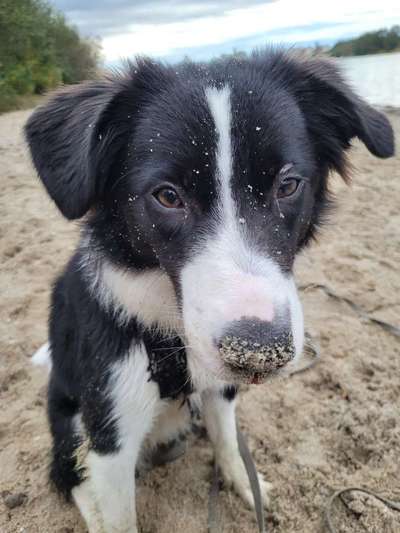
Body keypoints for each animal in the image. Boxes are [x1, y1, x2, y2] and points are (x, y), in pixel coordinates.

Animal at [25, 51, 394, 532]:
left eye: (288, 185)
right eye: (167, 196)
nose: (258, 354)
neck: (170, 339)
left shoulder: (219, 389)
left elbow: (228, 441)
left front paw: (246, 487)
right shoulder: (111, 431)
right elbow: (120, 515)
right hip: (70, 423)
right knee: (68, 477)